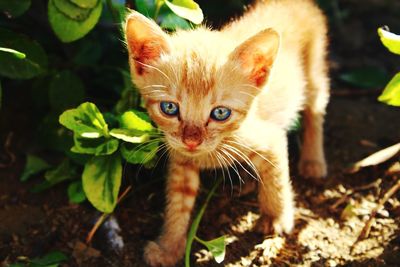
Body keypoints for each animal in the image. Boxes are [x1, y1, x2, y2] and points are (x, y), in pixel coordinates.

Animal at [124, 0, 328, 264]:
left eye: (220, 113)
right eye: (169, 108)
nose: (191, 140)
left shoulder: (271, 140)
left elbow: (277, 183)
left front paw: (276, 218)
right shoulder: (182, 161)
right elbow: (178, 205)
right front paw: (169, 248)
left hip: (313, 72)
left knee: (316, 108)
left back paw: (313, 161)